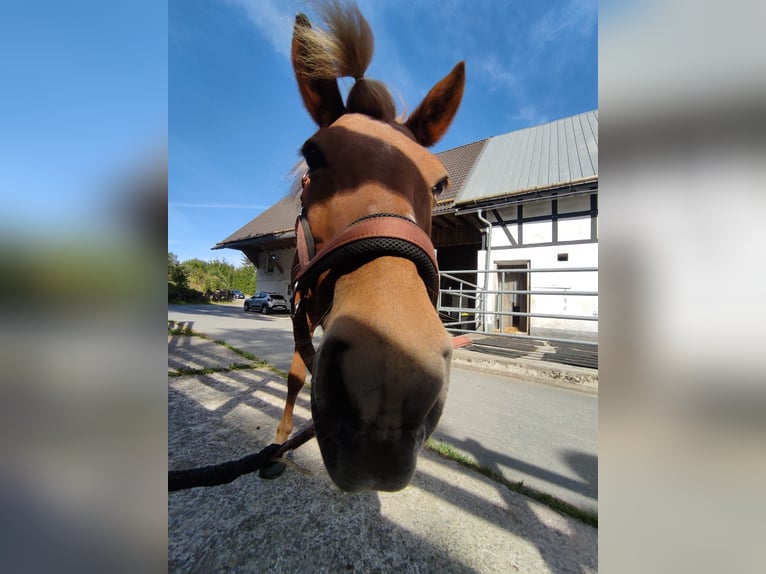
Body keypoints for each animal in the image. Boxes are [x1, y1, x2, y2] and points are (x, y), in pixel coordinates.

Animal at [272, 0, 464, 492]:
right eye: (313, 154)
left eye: (440, 183)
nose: (390, 388)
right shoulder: (302, 307)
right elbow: (297, 373)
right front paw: (279, 443)